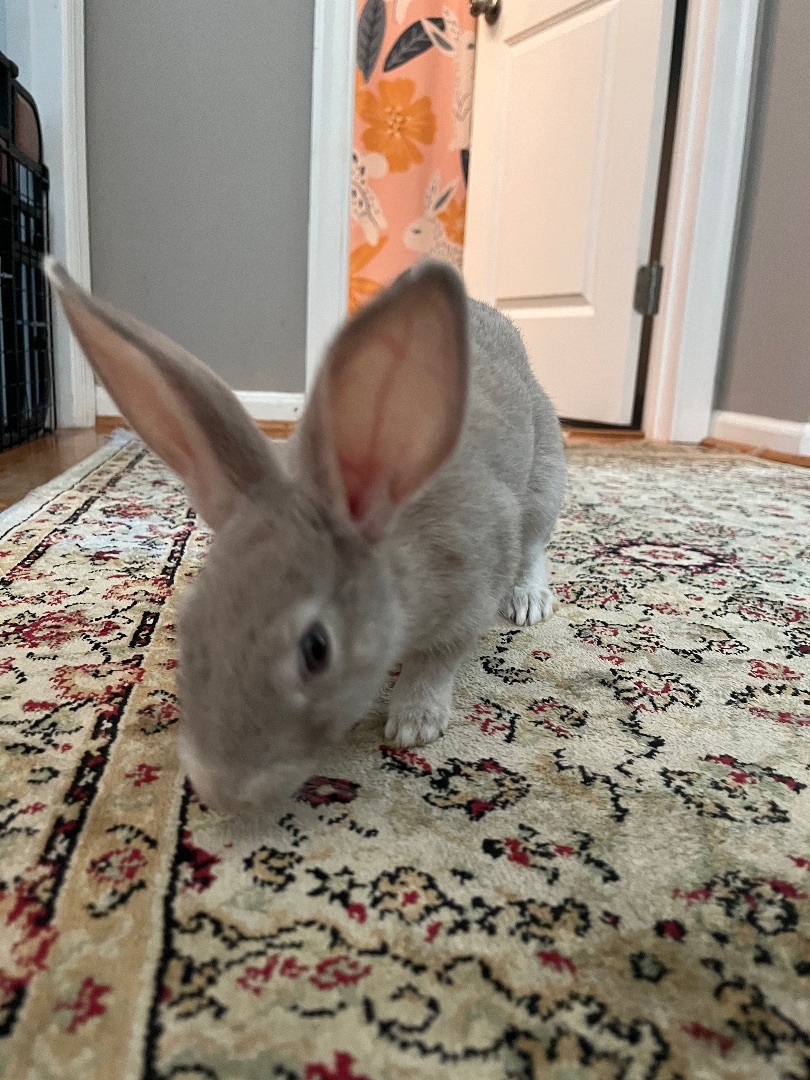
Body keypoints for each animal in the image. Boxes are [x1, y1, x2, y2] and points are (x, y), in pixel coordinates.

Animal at [44, 257, 566, 817]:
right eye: (190, 625)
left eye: (316, 649)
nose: (221, 793)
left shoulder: (471, 585)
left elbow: (437, 659)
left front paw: (414, 724)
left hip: (545, 482)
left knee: (535, 545)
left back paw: (528, 602)